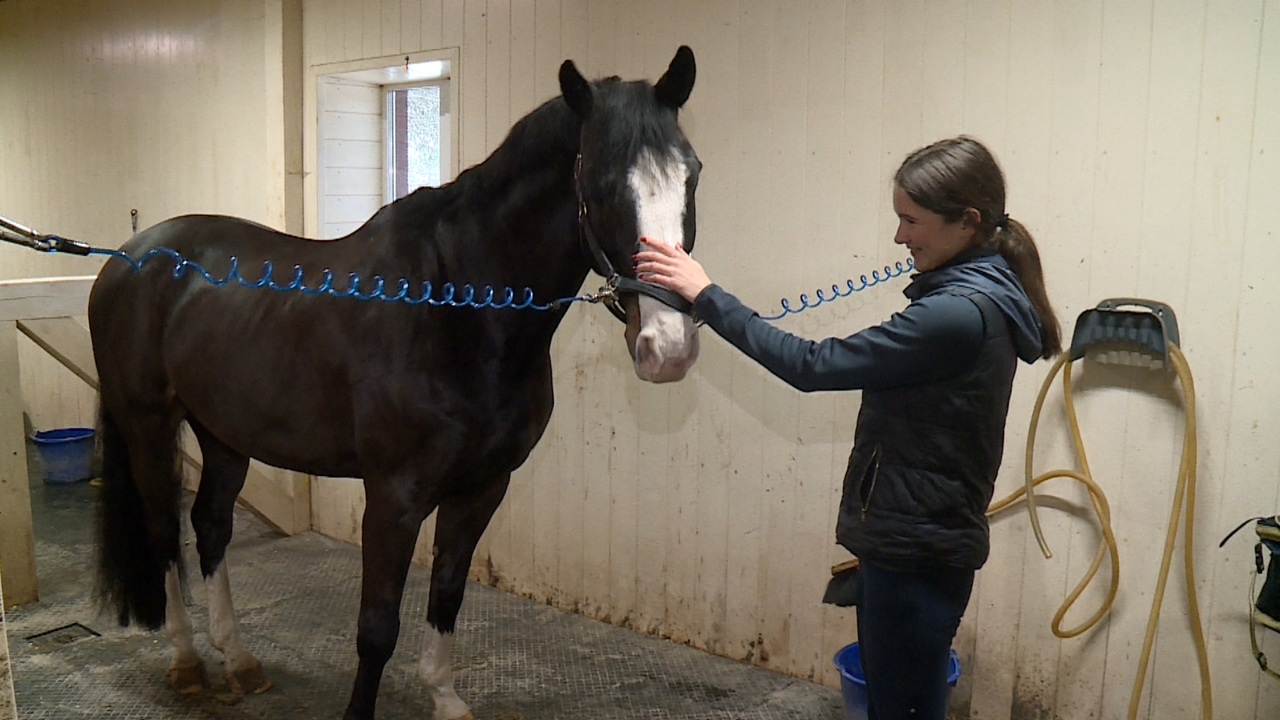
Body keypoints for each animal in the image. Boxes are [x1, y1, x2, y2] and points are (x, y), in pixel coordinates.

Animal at [88, 46, 701, 720]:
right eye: (602, 184)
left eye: (692, 175)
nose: (668, 347)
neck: (455, 307)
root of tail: (130, 254)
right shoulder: (394, 496)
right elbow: (377, 627)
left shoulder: (481, 488)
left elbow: (448, 594)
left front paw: (445, 697)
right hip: (148, 425)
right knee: (163, 532)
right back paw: (188, 661)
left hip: (224, 433)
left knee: (211, 526)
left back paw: (240, 660)